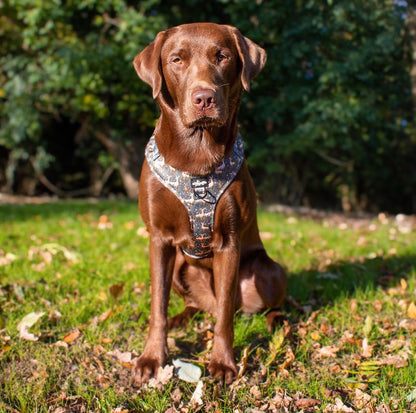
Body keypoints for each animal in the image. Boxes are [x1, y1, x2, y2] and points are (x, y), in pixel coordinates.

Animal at [132, 22, 286, 384]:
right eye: (176, 59)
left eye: (222, 56)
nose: (204, 98)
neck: (197, 155)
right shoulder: (158, 239)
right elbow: (157, 304)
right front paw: (152, 357)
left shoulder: (228, 240)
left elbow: (226, 312)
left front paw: (223, 362)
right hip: (179, 266)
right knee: (195, 304)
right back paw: (182, 317)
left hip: (268, 269)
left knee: (257, 306)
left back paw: (276, 323)